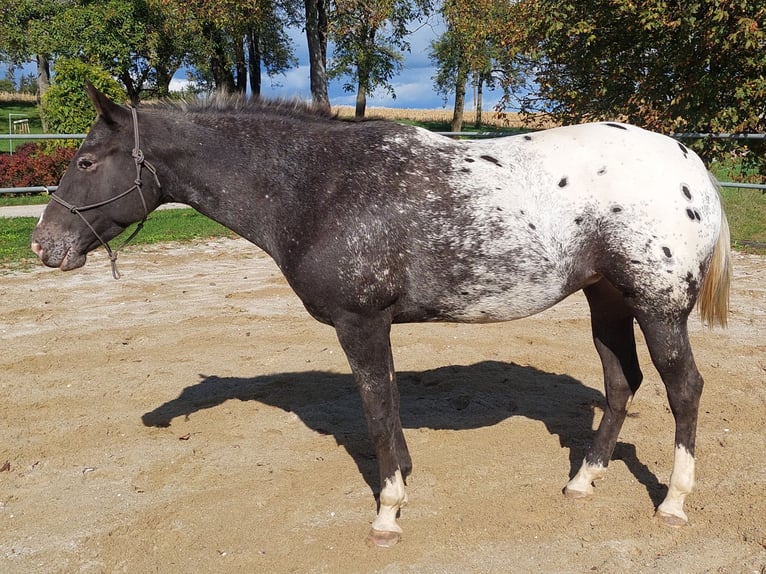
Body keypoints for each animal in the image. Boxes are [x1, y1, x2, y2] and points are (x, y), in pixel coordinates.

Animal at [33, 83, 736, 548]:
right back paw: (583, 481)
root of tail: (689, 163)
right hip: (608, 299)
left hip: (657, 306)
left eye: (86, 162)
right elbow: (388, 409)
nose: (45, 245)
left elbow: (376, 411)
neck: (319, 184)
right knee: (622, 384)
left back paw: (674, 502)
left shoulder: (361, 323)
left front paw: (388, 512)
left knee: (684, 390)